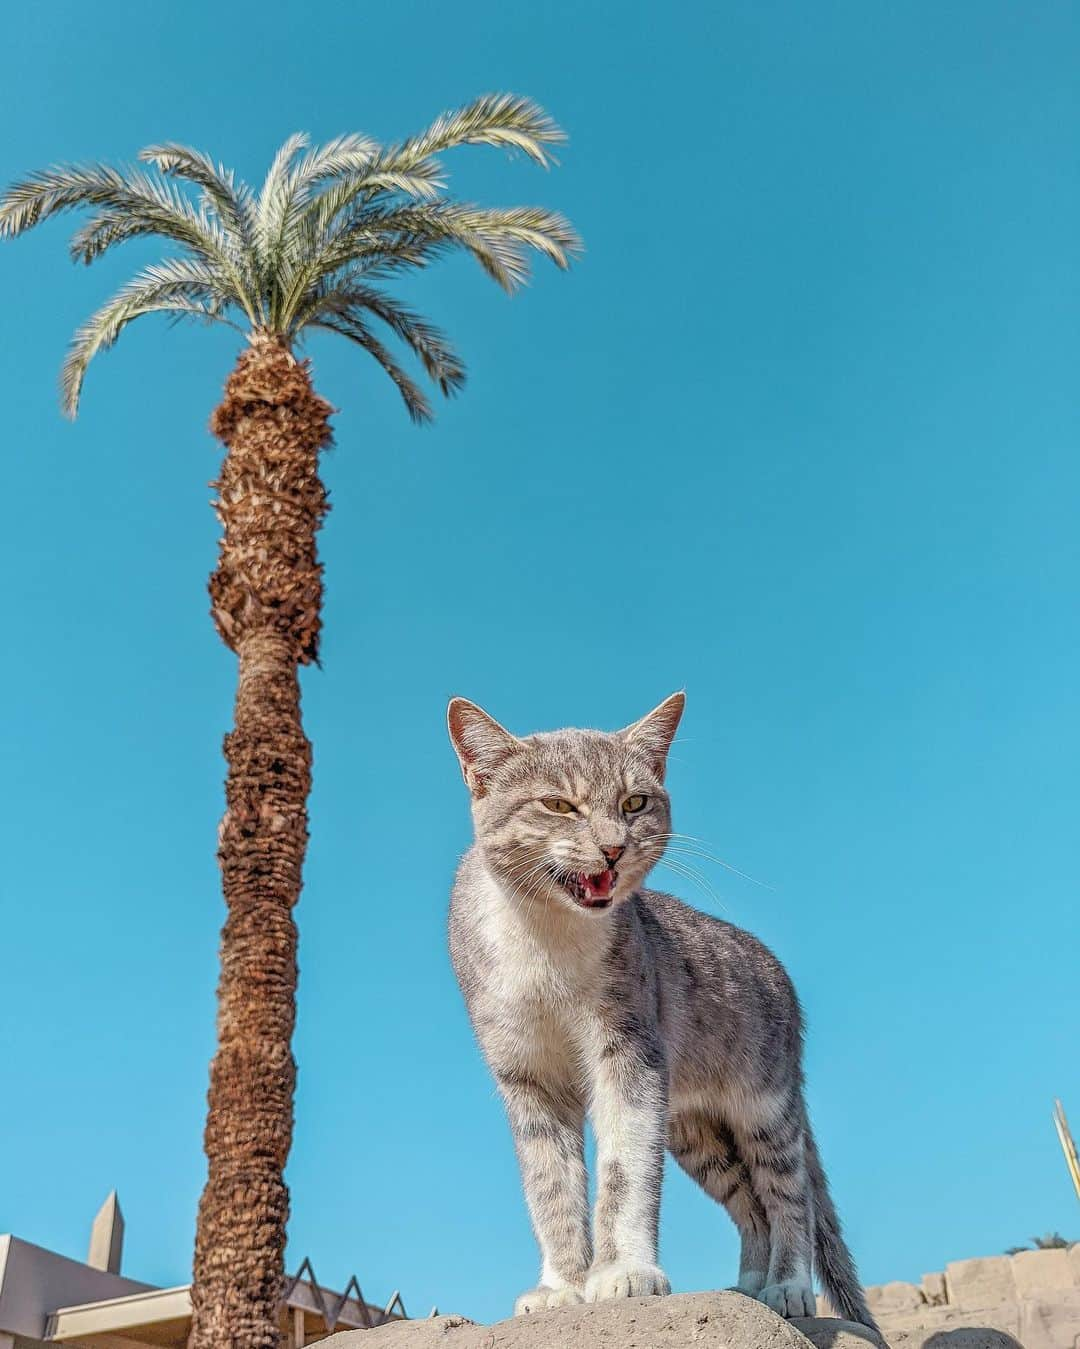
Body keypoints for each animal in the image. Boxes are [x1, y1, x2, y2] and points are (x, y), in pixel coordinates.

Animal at [447, 696, 873, 1327]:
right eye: (557, 804)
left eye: (634, 802)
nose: (613, 847)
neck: (547, 942)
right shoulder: (527, 1079)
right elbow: (550, 1186)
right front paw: (560, 1288)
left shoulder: (631, 1052)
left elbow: (626, 1169)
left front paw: (623, 1274)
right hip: (695, 1133)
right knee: (749, 1203)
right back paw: (748, 1286)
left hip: (765, 1106)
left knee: (787, 1193)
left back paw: (787, 1287)